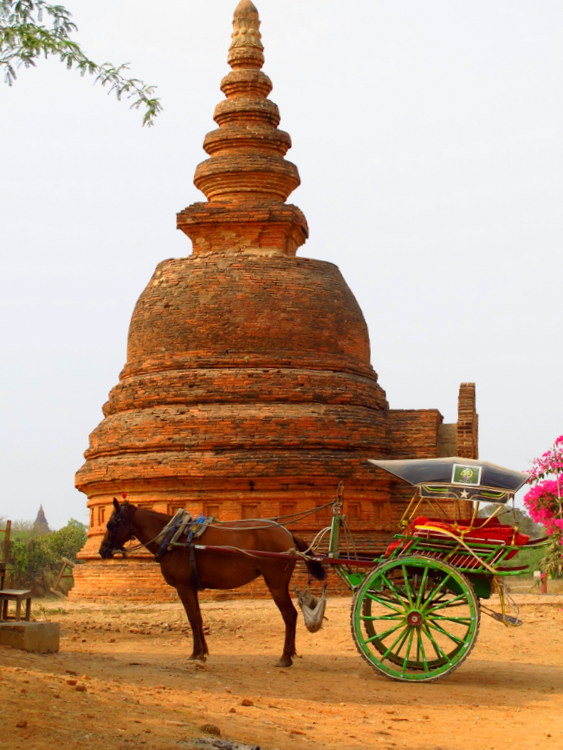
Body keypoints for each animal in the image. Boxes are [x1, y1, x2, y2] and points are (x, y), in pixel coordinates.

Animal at [99, 500, 324, 668]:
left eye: (111, 524)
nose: (102, 550)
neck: (174, 539)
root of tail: (287, 533)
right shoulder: (191, 587)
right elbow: (198, 618)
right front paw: (202, 652)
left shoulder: (183, 587)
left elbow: (192, 619)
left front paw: (195, 653)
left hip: (276, 583)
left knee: (289, 615)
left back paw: (285, 657)